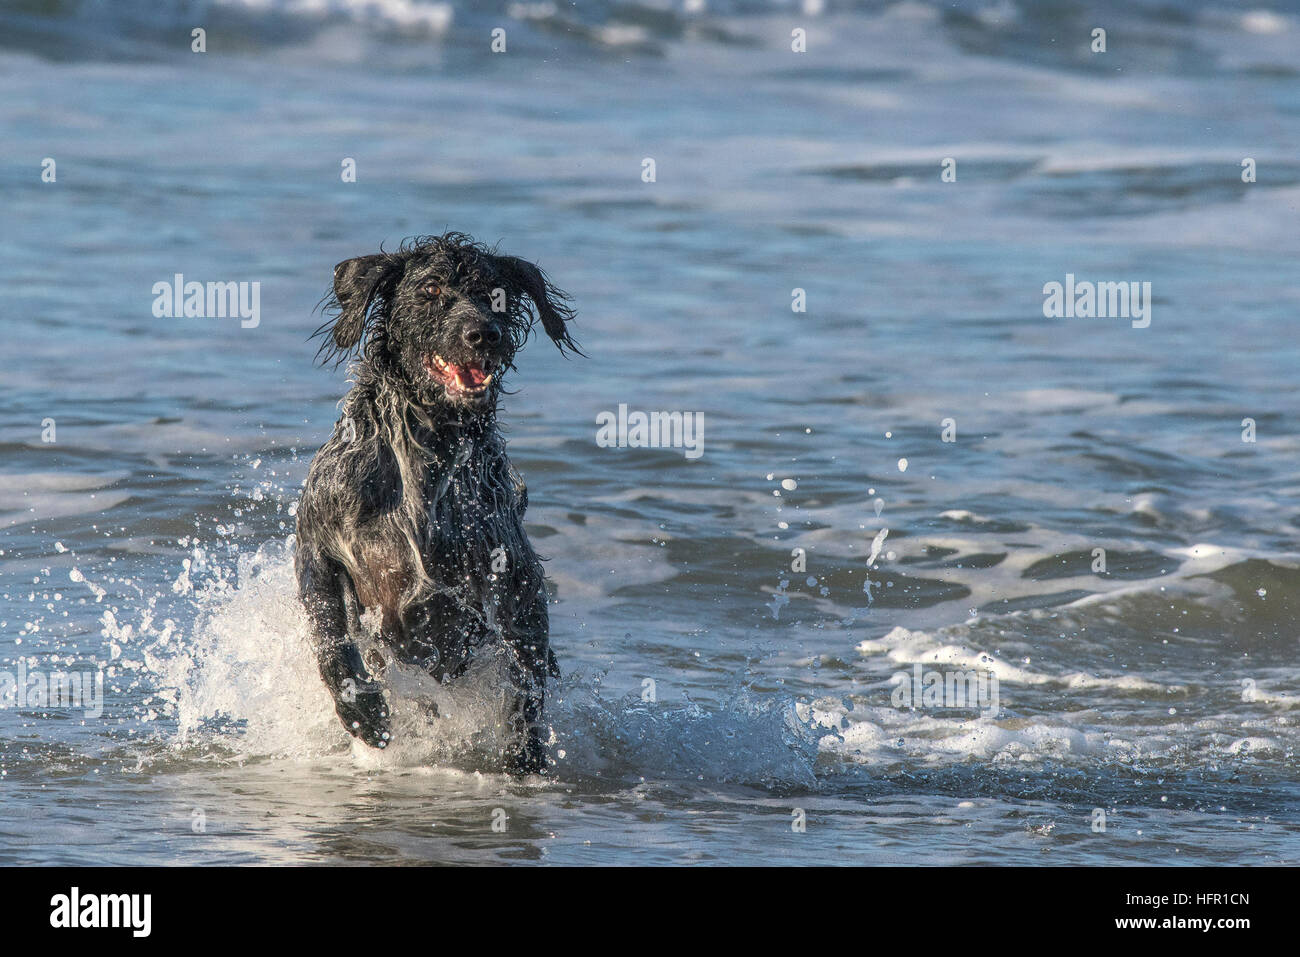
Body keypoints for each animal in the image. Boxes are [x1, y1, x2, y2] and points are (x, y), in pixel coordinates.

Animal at [297, 234, 582, 780]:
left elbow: (525, 675)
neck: (428, 445)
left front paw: (523, 753)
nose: (484, 334)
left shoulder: (515, 575)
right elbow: (332, 643)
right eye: (430, 290)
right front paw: (363, 711)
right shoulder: (317, 545)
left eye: (495, 295)